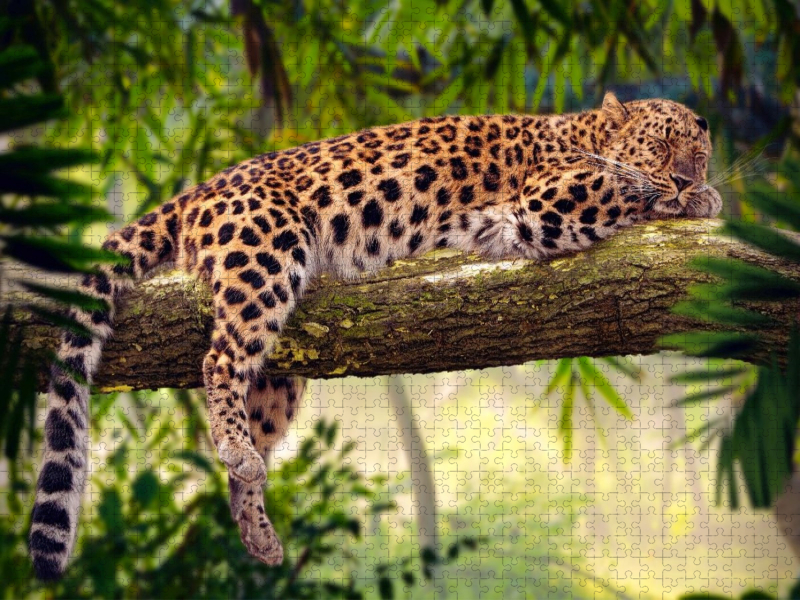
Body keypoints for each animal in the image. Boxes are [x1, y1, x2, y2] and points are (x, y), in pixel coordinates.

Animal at [28, 92, 722, 580]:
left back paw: (256, 526)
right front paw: (694, 197)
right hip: (265, 257)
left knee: (252, 399)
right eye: (662, 146)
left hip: (282, 368)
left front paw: (704, 195)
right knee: (219, 359)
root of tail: (201, 188)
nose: (691, 177)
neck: (585, 131)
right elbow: (625, 183)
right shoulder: (550, 200)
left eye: (701, 151)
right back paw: (233, 448)